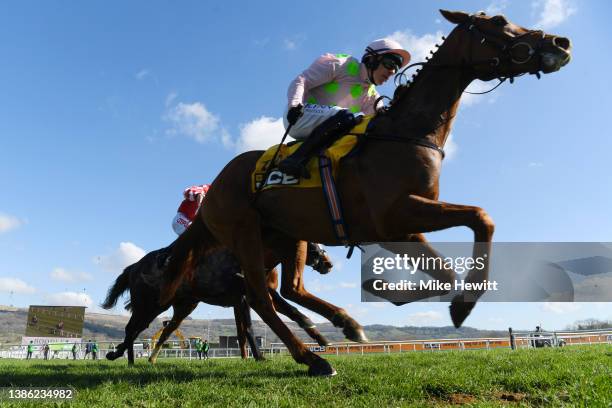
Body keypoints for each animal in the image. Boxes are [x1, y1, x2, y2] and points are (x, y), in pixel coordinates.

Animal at [103, 241, 332, 364]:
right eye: (310, 242)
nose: (328, 263)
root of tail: (134, 266)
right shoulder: (246, 297)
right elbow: (248, 328)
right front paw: (259, 357)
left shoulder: (252, 296)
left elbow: (291, 311)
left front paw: (319, 337)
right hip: (150, 305)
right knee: (132, 329)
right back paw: (121, 356)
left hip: (182, 306)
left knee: (160, 330)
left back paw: (142, 358)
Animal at [160, 8, 572, 376]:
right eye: (499, 21)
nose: (560, 42)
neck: (407, 132)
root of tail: (212, 188)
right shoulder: (394, 217)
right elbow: (480, 217)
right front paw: (451, 302)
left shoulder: (403, 225)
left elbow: (446, 272)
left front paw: (397, 291)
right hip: (244, 233)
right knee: (261, 297)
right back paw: (314, 359)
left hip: (286, 237)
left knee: (289, 289)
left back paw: (343, 325)